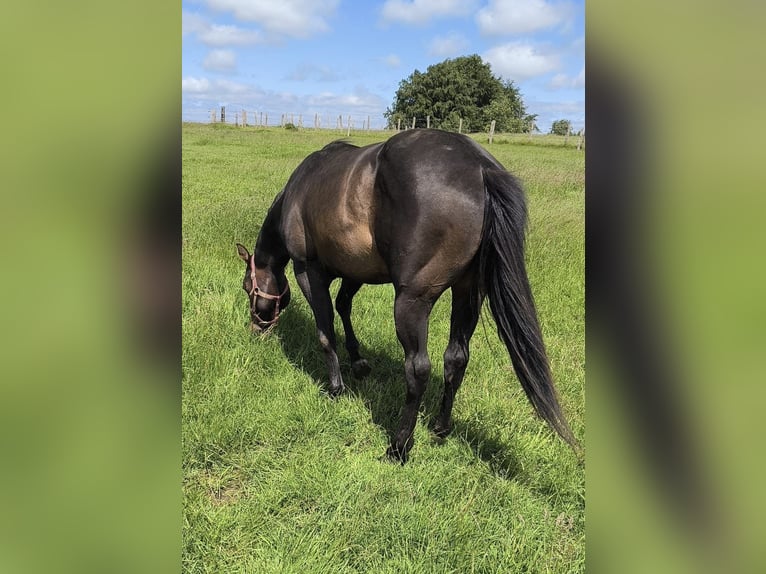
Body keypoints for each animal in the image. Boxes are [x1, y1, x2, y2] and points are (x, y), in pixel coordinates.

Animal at [236, 128, 577, 463]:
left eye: (246, 287)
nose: (256, 331)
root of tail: (480, 168)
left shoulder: (308, 271)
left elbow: (325, 331)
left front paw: (335, 388)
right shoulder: (355, 271)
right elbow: (344, 306)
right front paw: (358, 360)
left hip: (411, 302)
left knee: (417, 369)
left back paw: (399, 447)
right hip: (468, 293)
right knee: (456, 358)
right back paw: (440, 428)